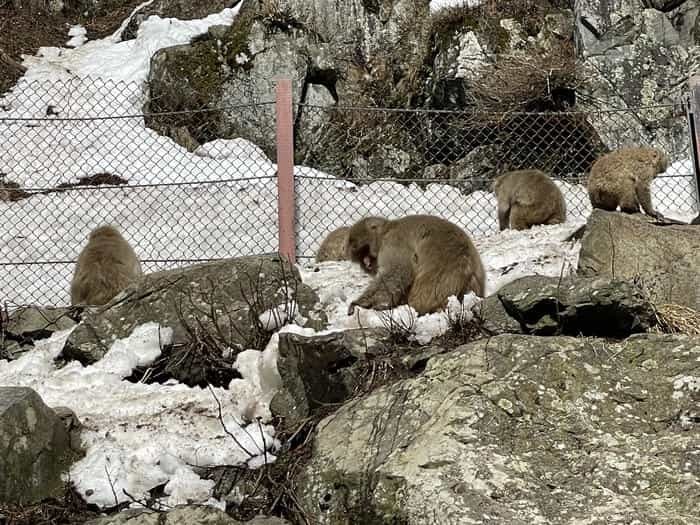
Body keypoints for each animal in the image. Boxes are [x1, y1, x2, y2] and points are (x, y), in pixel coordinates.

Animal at [346, 214, 486, 316]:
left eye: (363, 250)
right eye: (359, 257)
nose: (366, 263)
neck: (388, 230)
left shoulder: (394, 242)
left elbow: (398, 272)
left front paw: (360, 303)